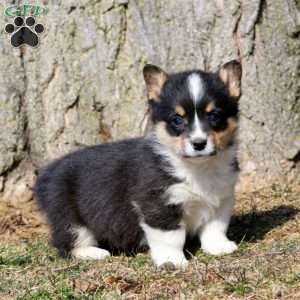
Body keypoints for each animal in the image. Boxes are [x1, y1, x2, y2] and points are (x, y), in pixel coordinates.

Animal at [34, 59, 241, 268]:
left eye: (214, 116)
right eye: (177, 119)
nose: (199, 143)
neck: (197, 167)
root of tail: (48, 173)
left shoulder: (222, 198)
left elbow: (215, 227)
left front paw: (219, 247)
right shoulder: (158, 203)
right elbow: (171, 237)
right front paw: (172, 261)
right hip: (68, 214)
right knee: (68, 241)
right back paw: (94, 252)